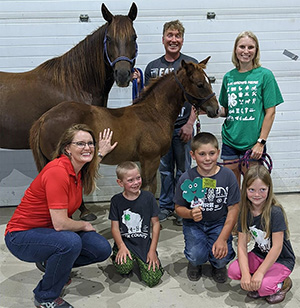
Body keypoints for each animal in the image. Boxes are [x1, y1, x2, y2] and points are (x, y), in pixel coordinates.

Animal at [29, 57, 218, 217]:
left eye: (209, 81)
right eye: (200, 84)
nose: (215, 110)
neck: (154, 114)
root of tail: (44, 118)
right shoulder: (150, 159)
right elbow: (148, 187)